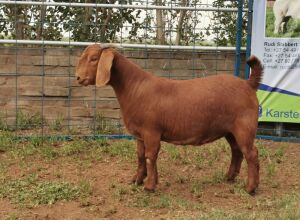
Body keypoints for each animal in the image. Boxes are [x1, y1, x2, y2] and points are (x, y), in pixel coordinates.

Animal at [77, 44, 262, 194]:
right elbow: (140, 155)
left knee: (251, 153)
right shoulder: (139, 134)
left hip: (244, 127)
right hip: (230, 130)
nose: (78, 78)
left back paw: (250, 188)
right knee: (236, 150)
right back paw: (229, 177)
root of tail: (248, 84)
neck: (135, 88)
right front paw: (137, 179)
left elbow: (150, 156)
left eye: (94, 59)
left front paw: (150, 186)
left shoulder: (151, 131)